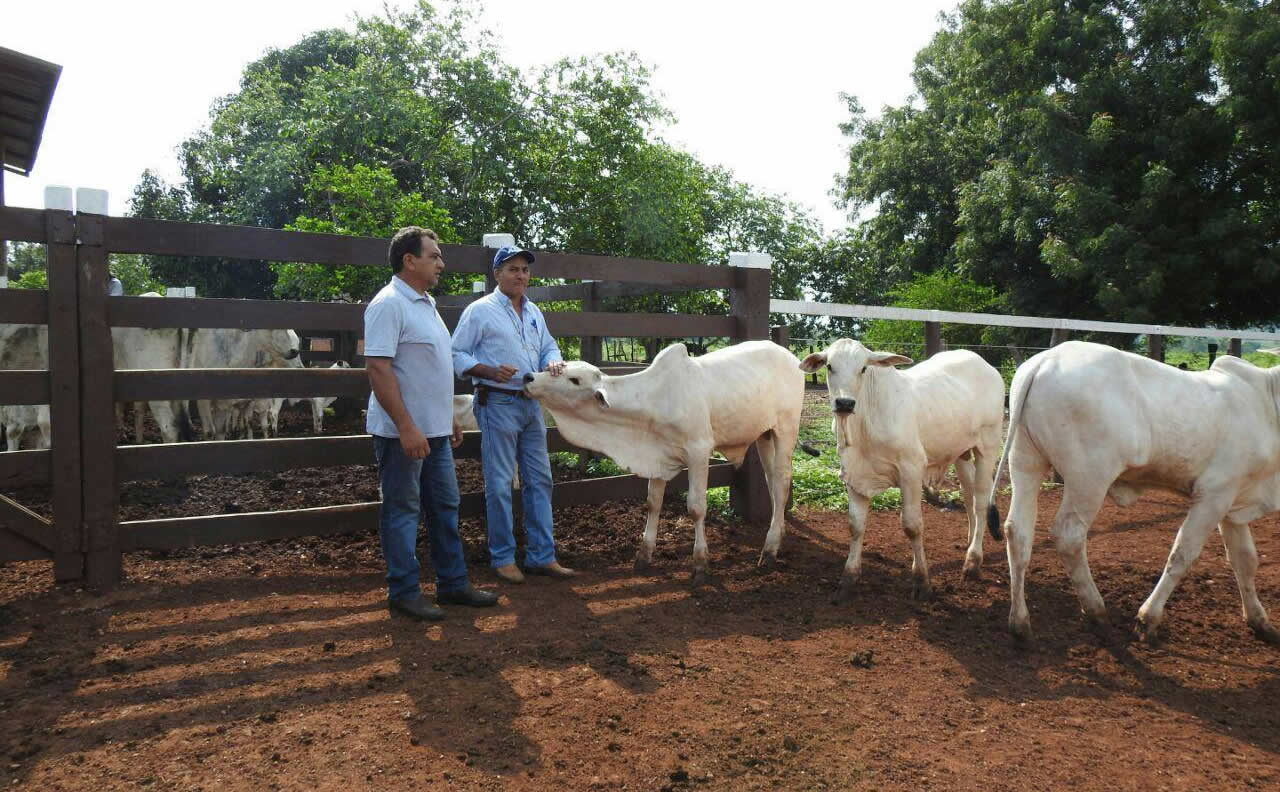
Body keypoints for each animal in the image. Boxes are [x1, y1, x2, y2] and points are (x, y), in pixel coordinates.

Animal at [522, 337, 808, 586]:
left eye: (574, 379)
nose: (528, 377)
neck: (655, 399)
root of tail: (790, 356)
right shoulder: (656, 456)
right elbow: (653, 503)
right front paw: (643, 556)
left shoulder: (699, 451)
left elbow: (696, 508)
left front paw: (700, 565)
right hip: (764, 436)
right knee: (773, 483)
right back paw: (777, 534)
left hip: (786, 430)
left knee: (782, 482)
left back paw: (769, 551)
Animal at [798, 340, 1008, 601]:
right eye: (829, 366)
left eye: (863, 368)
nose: (844, 403)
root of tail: (985, 365)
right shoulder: (853, 475)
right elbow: (855, 525)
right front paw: (848, 577)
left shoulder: (911, 470)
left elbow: (912, 525)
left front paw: (922, 581)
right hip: (961, 453)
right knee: (969, 498)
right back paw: (970, 544)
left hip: (987, 447)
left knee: (980, 503)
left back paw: (973, 562)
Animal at [988, 340, 1280, 644]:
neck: (1269, 406)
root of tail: (1045, 360)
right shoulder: (1214, 495)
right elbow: (1183, 554)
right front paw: (1148, 618)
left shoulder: (1234, 502)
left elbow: (1245, 560)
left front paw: (1260, 621)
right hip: (1089, 477)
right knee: (1069, 536)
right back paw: (1096, 611)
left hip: (1026, 461)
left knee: (1018, 531)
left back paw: (1020, 622)